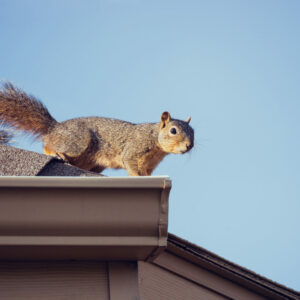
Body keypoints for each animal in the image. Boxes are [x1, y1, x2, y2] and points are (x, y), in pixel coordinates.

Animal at [0, 82, 195, 176]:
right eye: (173, 131)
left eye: (193, 132)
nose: (189, 146)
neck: (155, 140)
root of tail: (54, 127)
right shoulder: (134, 149)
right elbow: (131, 164)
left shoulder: (149, 166)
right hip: (77, 141)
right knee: (48, 145)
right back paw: (55, 153)